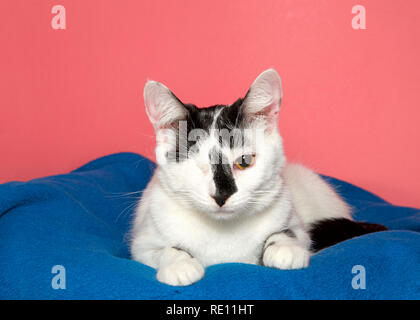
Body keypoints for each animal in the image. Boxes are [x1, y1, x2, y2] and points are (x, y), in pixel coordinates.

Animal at [130, 69, 386, 286]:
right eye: (195, 165)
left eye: (244, 161)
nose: (221, 196)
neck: (223, 232)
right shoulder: (142, 243)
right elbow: (159, 250)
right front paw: (178, 263)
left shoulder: (296, 223)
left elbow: (291, 233)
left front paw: (284, 248)